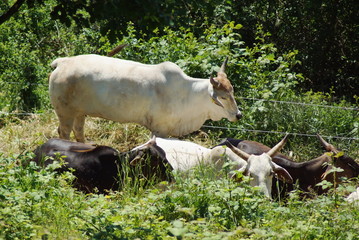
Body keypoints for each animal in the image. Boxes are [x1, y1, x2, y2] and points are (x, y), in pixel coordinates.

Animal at [49, 54, 242, 142]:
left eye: (232, 92)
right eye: (223, 97)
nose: (238, 115)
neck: (186, 93)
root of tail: (63, 62)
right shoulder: (159, 130)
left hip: (79, 113)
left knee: (78, 131)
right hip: (65, 113)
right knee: (64, 132)